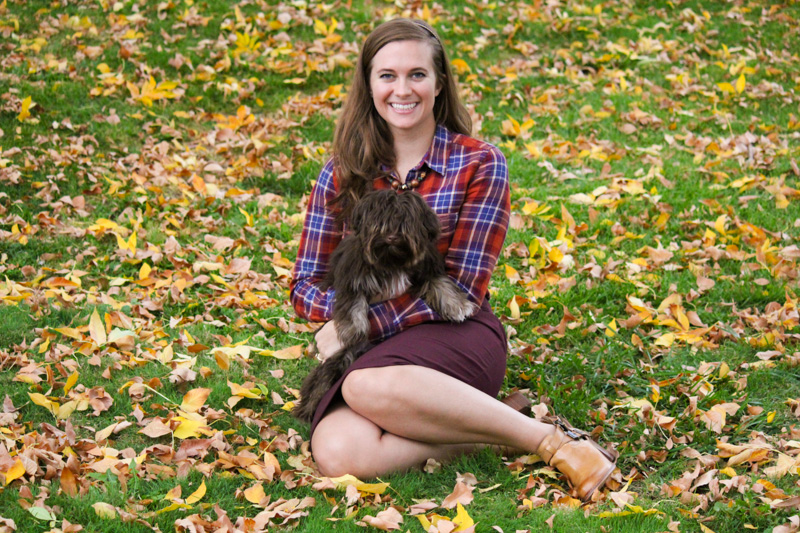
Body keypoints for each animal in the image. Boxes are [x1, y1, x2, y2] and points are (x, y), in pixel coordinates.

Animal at [296, 189, 478, 422]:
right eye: (379, 223)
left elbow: (441, 283)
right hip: (337, 359)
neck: (391, 262)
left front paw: (457, 306)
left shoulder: (426, 269)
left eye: (405, 223)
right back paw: (308, 408)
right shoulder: (352, 279)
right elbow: (354, 304)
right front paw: (354, 329)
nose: (391, 237)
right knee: (321, 379)